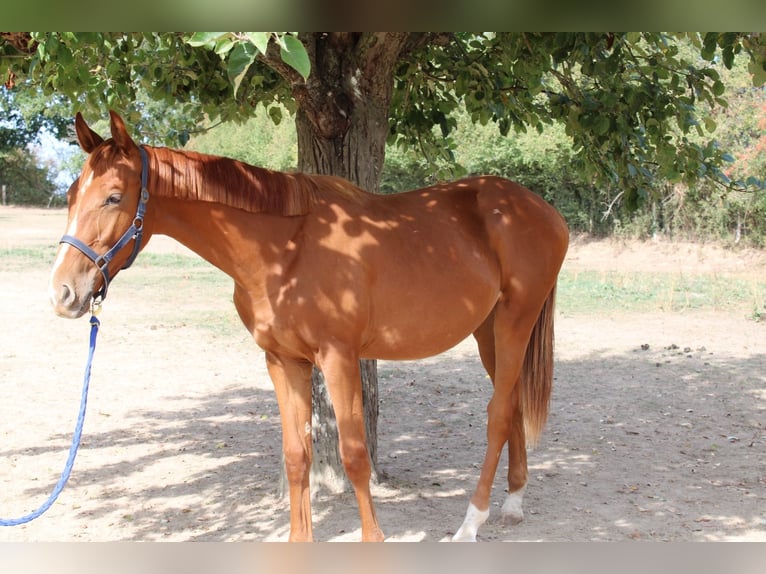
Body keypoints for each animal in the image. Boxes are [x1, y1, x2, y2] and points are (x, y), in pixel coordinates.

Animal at [49, 111, 569, 542]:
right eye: (72, 196)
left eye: (113, 197)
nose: (63, 293)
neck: (285, 250)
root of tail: (542, 211)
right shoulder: (283, 361)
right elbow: (297, 457)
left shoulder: (338, 358)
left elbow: (355, 456)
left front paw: (374, 543)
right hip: (488, 331)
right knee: (511, 404)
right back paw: (513, 503)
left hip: (516, 320)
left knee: (498, 413)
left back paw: (470, 523)